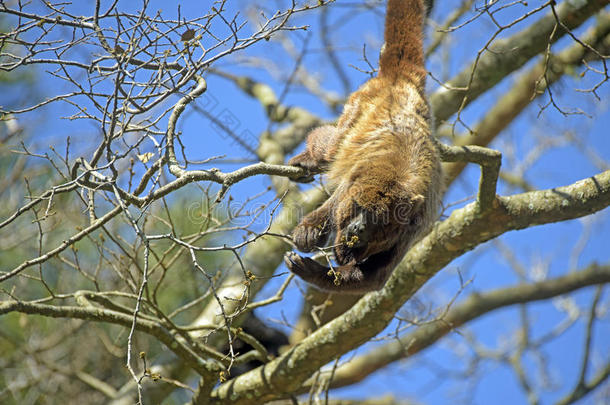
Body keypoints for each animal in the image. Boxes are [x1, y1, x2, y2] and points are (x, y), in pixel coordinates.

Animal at [282, 0, 440, 292]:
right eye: (361, 210)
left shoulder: (414, 222)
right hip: (360, 104)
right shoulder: (354, 183)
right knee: (331, 148)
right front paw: (309, 231)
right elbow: (332, 204)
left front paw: (314, 272)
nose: (357, 229)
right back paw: (309, 156)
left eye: (378, 222)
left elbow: (375, 276)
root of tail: (403, 82)